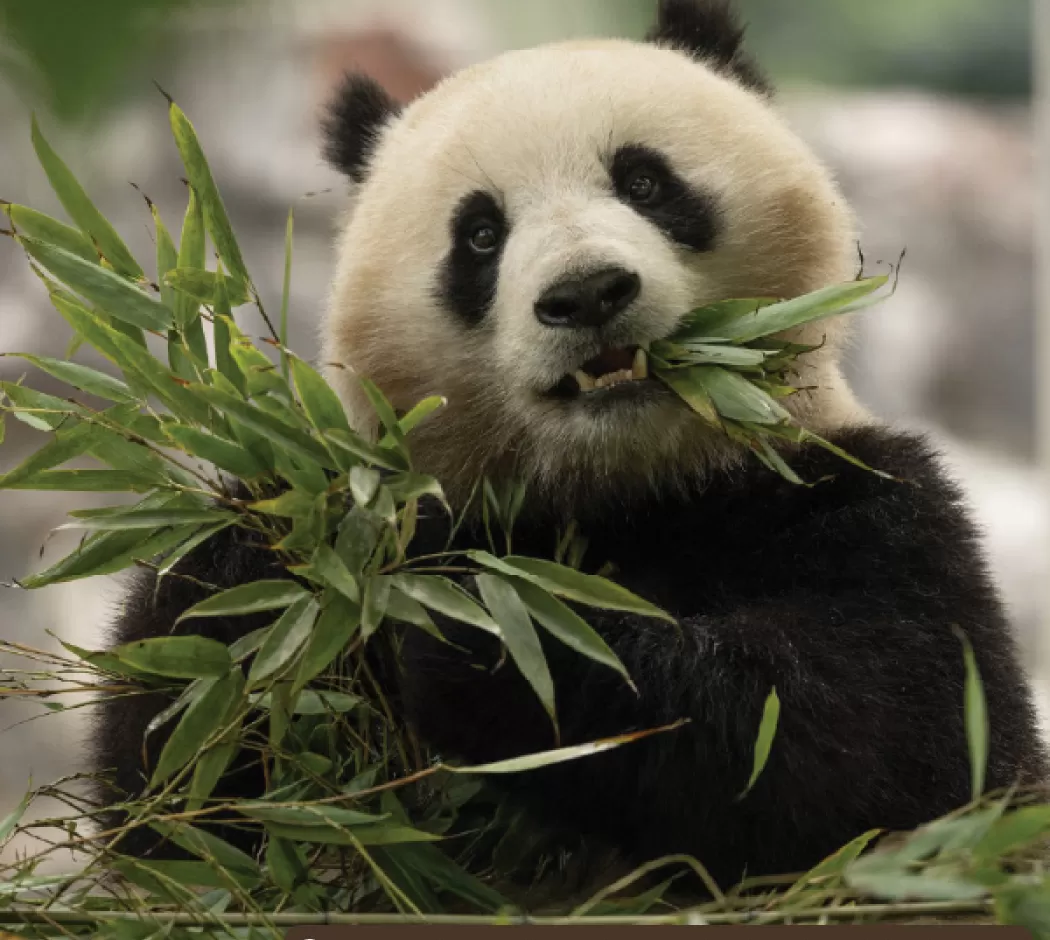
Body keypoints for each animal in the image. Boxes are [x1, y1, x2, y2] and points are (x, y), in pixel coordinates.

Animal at [95, 0, 1047, 904]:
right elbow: (180, 802)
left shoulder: (861, 500)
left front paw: (484, 634)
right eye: (480, 235)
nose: (587, 293)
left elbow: (887, 744)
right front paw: (268, 566)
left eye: (645, 181)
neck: (624, 486)